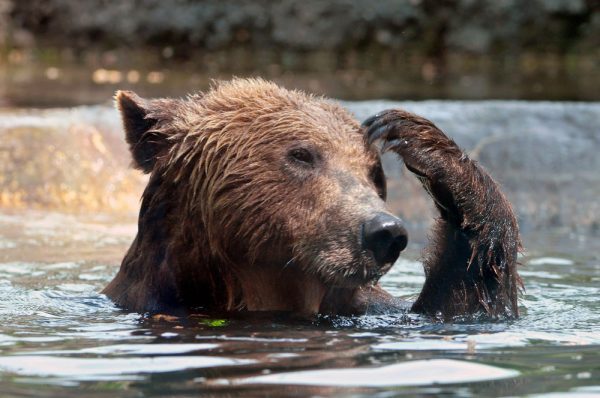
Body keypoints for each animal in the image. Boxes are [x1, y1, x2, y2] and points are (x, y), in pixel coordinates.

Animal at [103, 78, 520, 320]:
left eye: (373, 172)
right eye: (302, 154)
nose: (384, 231)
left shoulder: (376, 312)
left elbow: (461, 307)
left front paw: (411, 132)